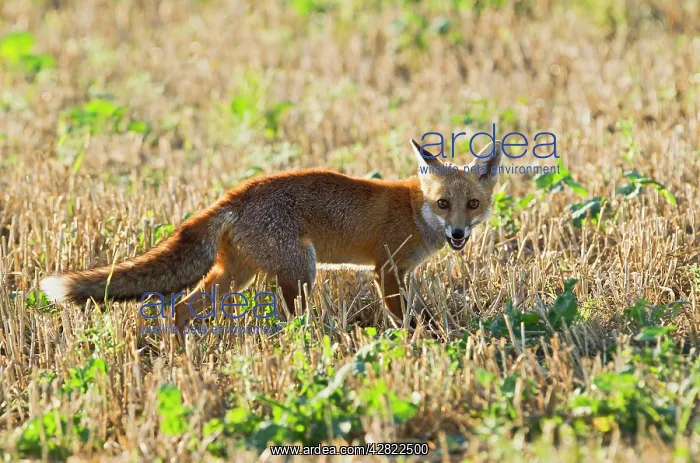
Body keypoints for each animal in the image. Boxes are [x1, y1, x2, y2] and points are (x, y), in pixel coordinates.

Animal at [40, 139, 503, 334]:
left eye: (472, 204)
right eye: (443, 204)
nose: (458, 234)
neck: (413, 208)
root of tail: (235, 194)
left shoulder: (401, 272)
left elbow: (418, 312)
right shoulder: (386, 269)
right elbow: (403, 317)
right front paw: (416, 343)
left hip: (236, 277)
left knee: (182, 309)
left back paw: (184, 359)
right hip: (300, 271)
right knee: (291, 321)